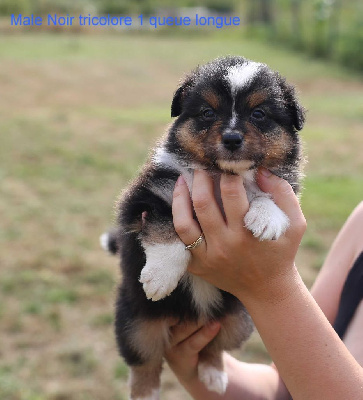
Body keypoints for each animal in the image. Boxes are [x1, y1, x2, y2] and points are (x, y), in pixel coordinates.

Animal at [101, 57, 304, 400]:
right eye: (208, 112)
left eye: (259, 114)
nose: (232, 139)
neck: (223, 176)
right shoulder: (146, 197)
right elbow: (166, 226)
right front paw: (161, 277)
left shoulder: (282, 186)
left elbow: (269, 194)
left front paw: (266, 218)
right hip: (135, 323)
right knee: (144, 363)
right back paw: (146, 392)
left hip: (237, 320)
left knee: (214, 347)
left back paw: (214, 375)